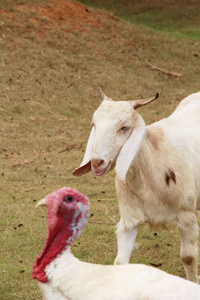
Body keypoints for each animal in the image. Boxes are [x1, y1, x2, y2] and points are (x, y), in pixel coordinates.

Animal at [72, 89, 200, 284]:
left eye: (124, 127)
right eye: (94, 124)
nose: (96, 162)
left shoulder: (186, 215)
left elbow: (188, 257)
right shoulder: (129, 219)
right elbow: (120, 262)